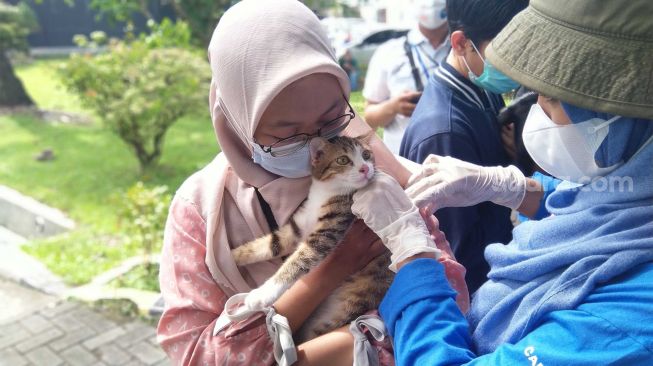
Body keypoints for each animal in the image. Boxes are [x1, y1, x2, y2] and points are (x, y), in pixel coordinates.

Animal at [232, 136, 390, 342]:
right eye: (343, 160)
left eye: (366, 155)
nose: (365, 168)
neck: (325, 194)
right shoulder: (296, 228)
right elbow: (270, 244)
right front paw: (230, 256)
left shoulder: (328, 231)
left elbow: (298, 260)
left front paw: (262, 294)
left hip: (347, 306)